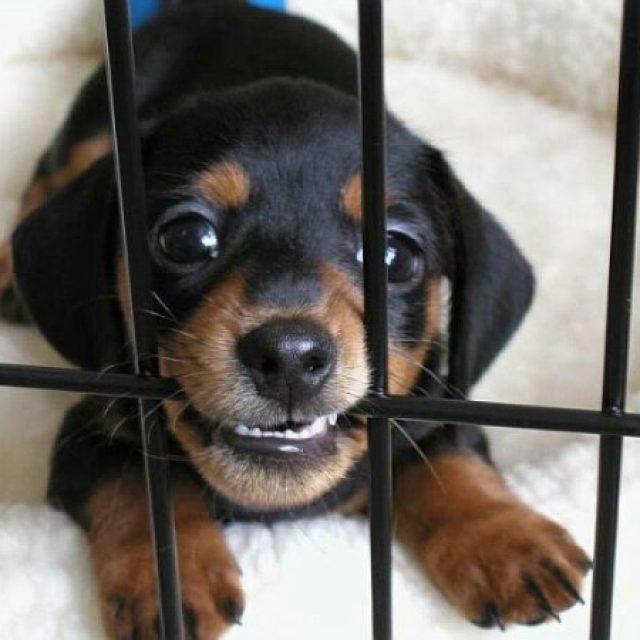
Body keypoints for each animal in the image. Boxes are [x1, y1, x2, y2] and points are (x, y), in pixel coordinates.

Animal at [0, 1, 591, 637]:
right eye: (185, 237)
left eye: (396, 254)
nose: (288, 357)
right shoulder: (90, 431)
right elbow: (137, 483)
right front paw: (171, 577)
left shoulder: (431, 405)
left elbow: (446, 457)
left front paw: (506, 539)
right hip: (91, 121)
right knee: (48, 175)